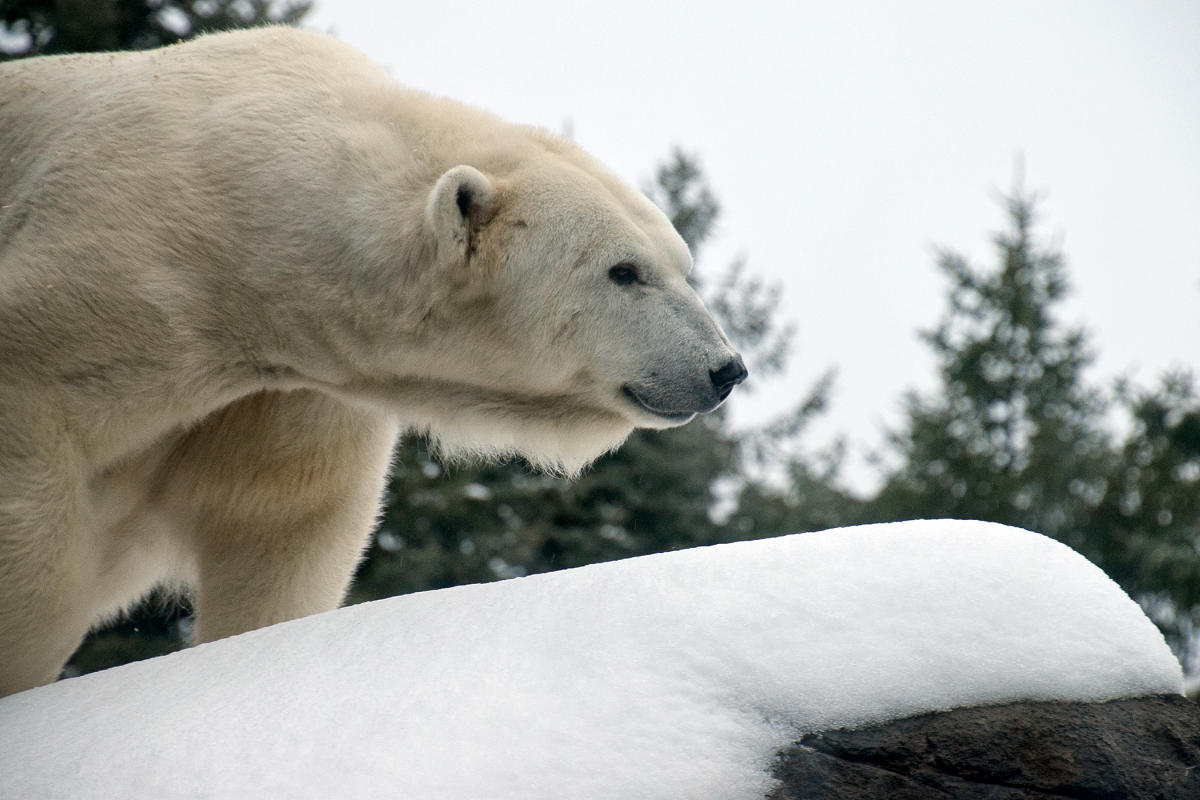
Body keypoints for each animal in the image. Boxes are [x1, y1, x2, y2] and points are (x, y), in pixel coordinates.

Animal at [0, 28, 744, 695]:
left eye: (680, 264)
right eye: (624, 271)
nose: (725, 369)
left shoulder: (287, 392)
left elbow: (284, 528)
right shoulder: (105, 296)